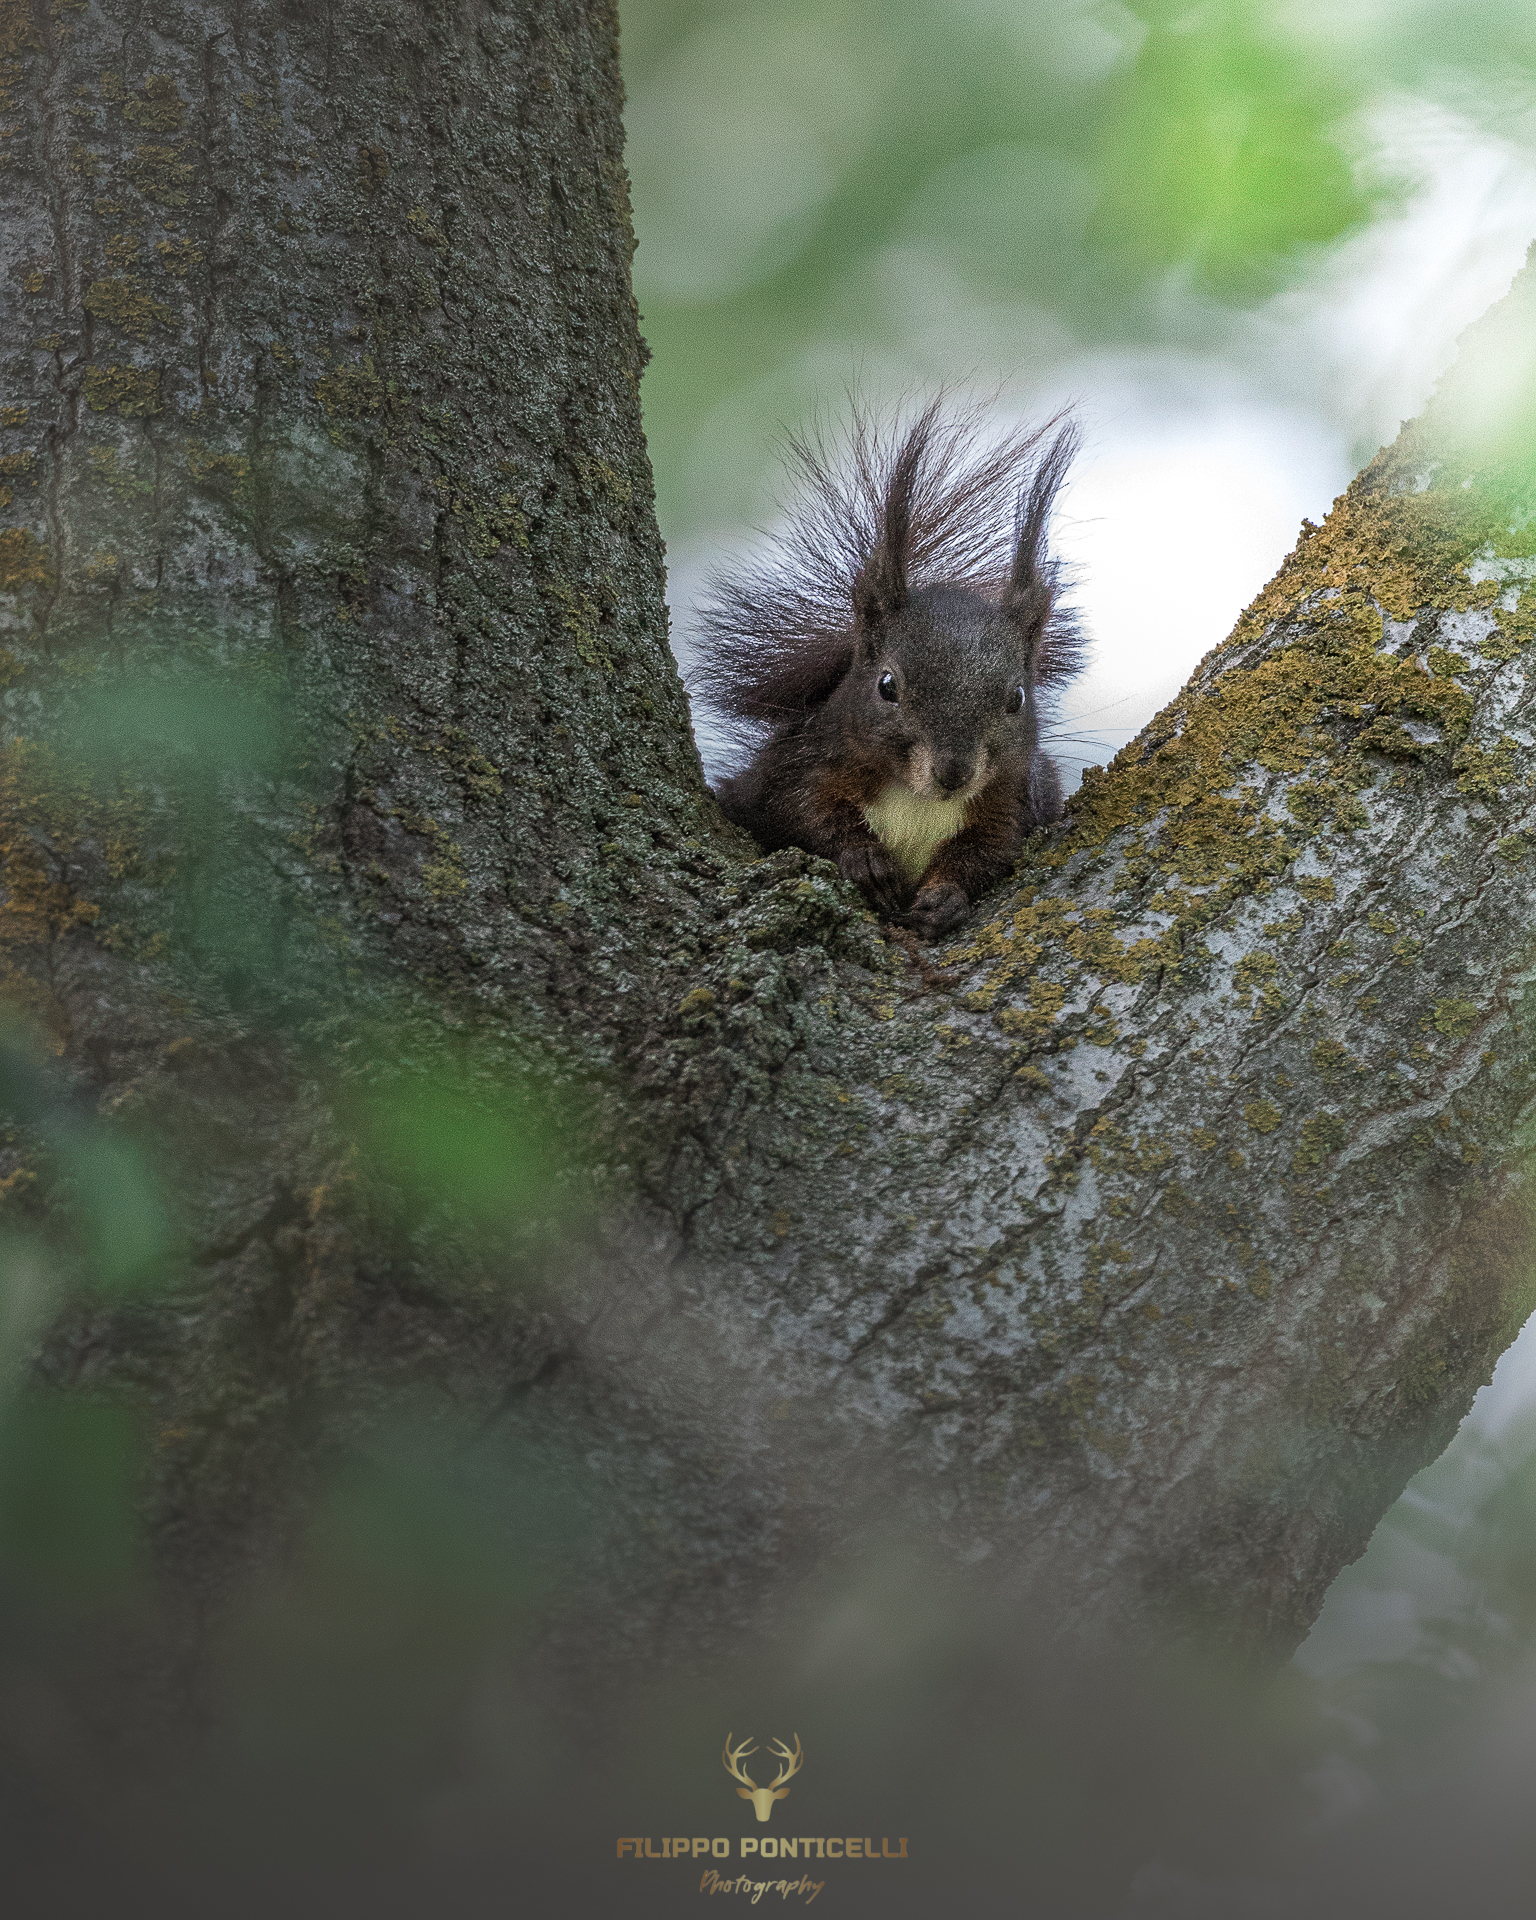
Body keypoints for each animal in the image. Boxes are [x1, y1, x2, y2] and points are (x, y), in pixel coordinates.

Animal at [691, 398, 1083, 941]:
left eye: (1017, 699)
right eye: (887, 686)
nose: (953, 773)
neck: (917, 797)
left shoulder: (1014, 798)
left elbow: (991, 851)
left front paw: (945, 898)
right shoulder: (797, 768)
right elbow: (805, 815)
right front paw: (864, 859)